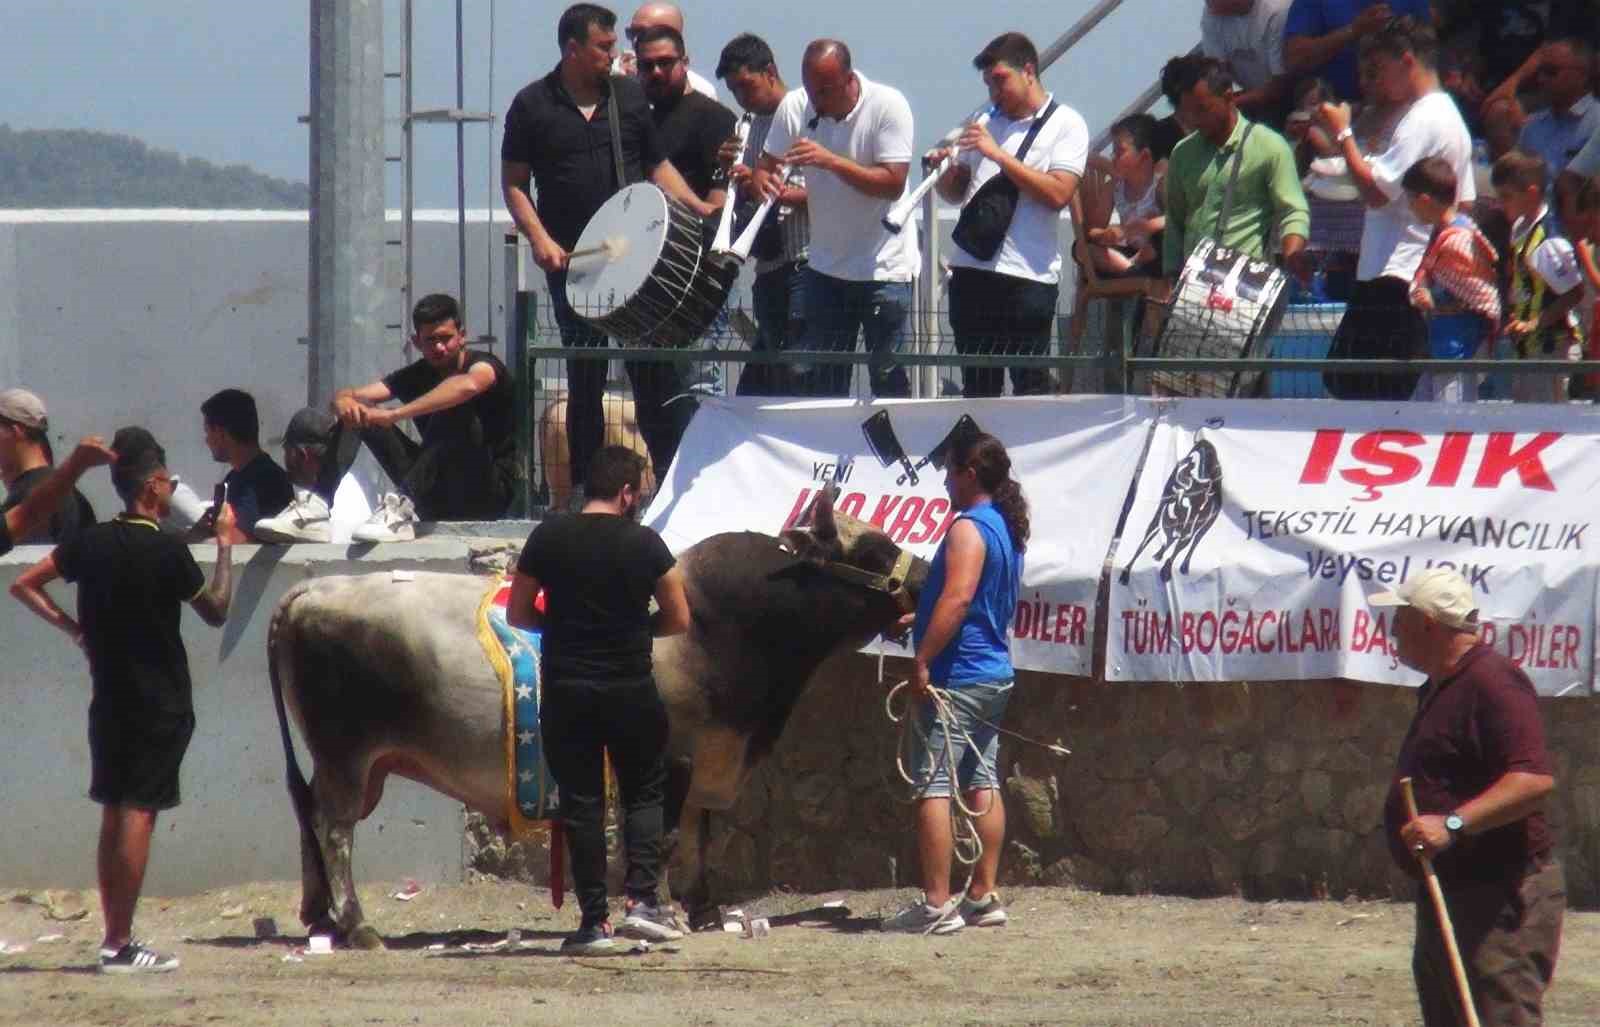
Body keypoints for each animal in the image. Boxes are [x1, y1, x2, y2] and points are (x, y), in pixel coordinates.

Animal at [265, 486, 928, 947]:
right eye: (874, 550)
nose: (926, 578)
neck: (723, 627)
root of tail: (311, 592)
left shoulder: (711, 760)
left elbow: (701, 834)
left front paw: (705, 910)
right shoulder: (670, 757)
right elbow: (662, 835)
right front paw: (663, 913)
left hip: (348, 763)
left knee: (308, 816)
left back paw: (322, 918)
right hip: (348, 754)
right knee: (333, 828)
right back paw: (357, 924)